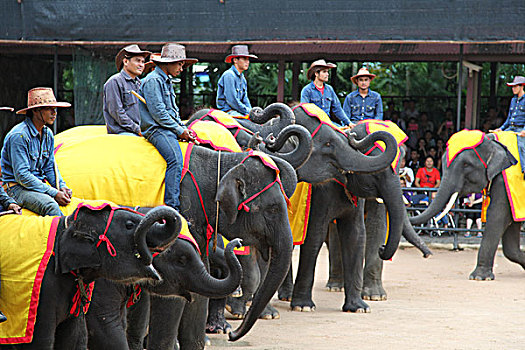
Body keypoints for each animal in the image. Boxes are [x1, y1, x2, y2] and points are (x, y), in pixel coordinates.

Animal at [410, 132, 516, 282]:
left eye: (466, 164)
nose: (427, 255)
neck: (492, 142)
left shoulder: (504, 183)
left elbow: (497, 217)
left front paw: (478, 277)